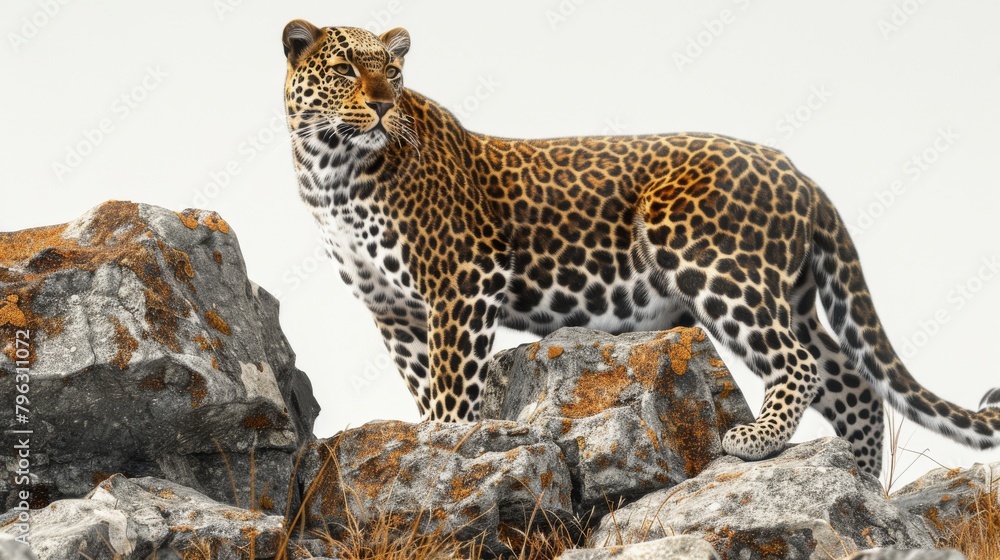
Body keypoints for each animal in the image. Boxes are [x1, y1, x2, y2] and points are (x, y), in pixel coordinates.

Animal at [281, 20, 1000, 476]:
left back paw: (756, 442)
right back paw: (860, 479)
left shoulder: (463, 280)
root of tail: (800, 173)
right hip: (786, 292)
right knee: (851, 379)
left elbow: (454, 389)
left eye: (393, 71)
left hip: (713, 263)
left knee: (802, 364)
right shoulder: (395, 311)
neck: (331, 171)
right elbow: (426, 388)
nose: (381, 106)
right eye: (345, 69)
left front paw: (451, 446)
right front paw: (430, 440)